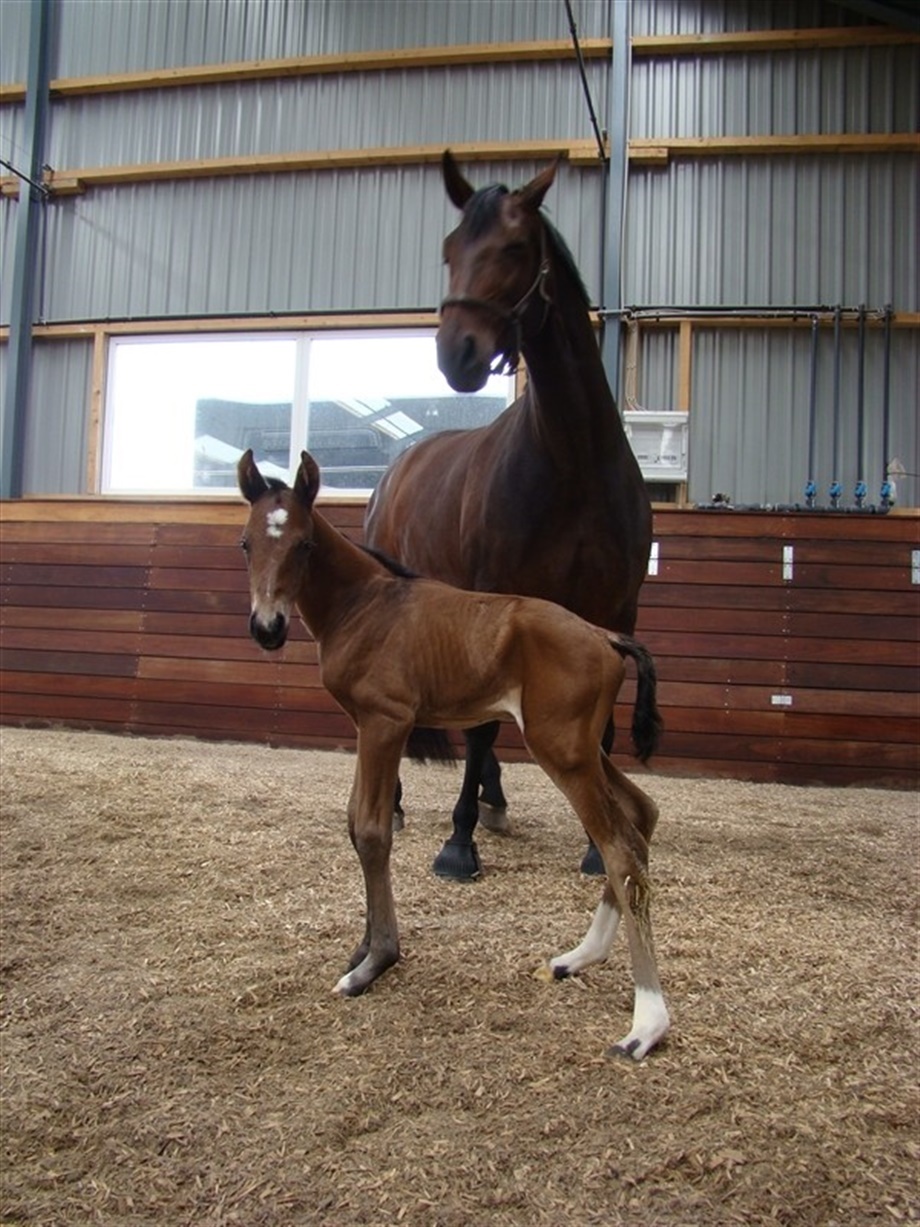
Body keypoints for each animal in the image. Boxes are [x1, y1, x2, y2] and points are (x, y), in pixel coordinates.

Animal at [237, 448, 669, 1060]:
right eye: (246, 543)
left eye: (303, 544)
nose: (267, 628)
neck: (366, 603)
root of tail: (604, 635)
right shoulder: (366, 727)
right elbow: (354, 825)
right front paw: (362, 947)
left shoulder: (386, 722)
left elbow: (372, 831)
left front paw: (375, 963)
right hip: (583, 748)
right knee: (641, 814)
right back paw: (579, 957)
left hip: (562, 751)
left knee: (620, 848)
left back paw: (647, 1023)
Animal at [364, 150, 653, 881]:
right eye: (450, 249)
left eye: (517, 247)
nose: (457, 353)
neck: (574, 460)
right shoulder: (501, 593)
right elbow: (484, 727)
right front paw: (458, 845)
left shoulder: (616, 608)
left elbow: (601, 726)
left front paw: (596, 845)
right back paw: (405, 803)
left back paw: (492, 799)